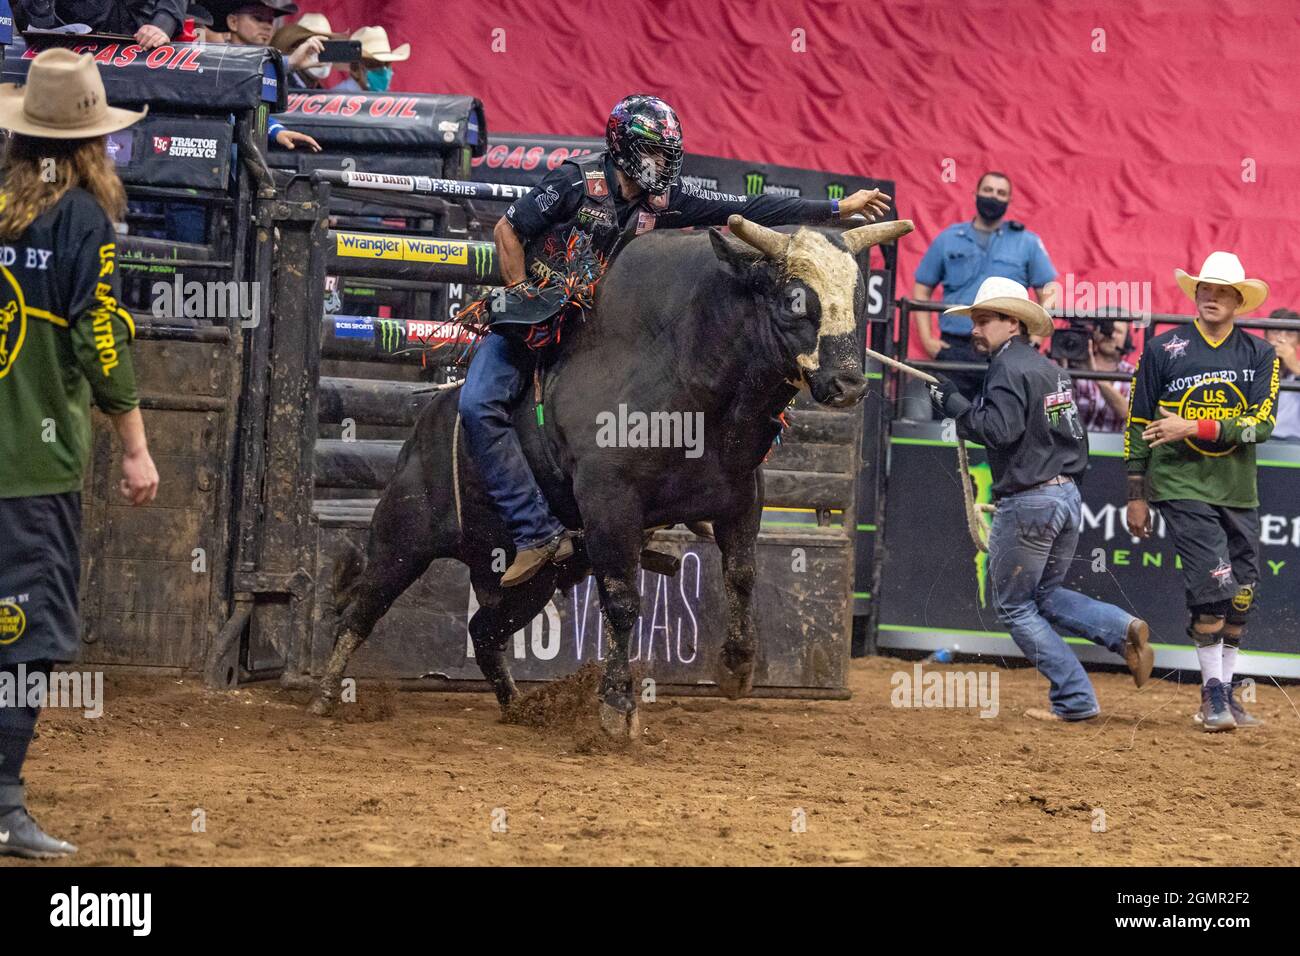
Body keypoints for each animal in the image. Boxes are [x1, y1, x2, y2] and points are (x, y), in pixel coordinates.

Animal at [309, 214, 915, 733]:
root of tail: (424, 426)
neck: (688, 376)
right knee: (359, 610)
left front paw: (738, 667)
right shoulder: (610, 505)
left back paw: (518, 707)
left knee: (484, 631)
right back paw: (325, 694)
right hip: (403, 539)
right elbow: (623, 601)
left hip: (528, 580)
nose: (849, 384)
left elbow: (742, 575)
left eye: (857, 299)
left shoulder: (742, 497)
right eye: (795, 299)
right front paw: (616, 707)